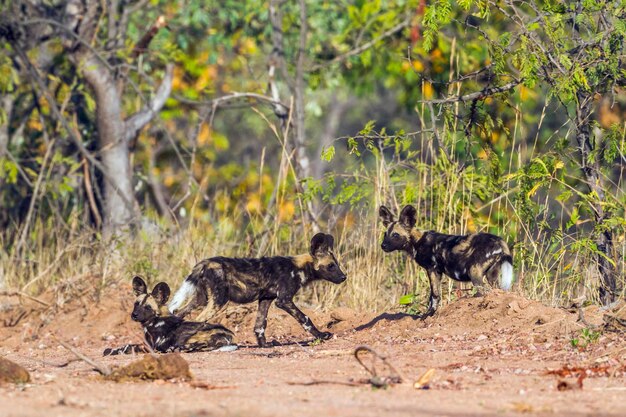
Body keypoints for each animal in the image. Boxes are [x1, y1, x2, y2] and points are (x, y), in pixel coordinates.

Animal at [102, 276, 234, 354]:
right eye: (136, 304)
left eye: (148, 307)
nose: (134, 315)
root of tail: (232, 335)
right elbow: (125, 345)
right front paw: (110, 349)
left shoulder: (151, 347)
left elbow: (129, 346)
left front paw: (113, 351)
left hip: (189, 335)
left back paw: (176, 349)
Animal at [166, 232, 346, 346]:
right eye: (331, 266)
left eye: (336, 264)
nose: (344, 277)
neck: (299, 267)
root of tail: (205, 262)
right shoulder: (284, 300)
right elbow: (305, 319)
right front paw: (321, 335)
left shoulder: (265, 299)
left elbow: (260, 325)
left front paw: (264, 345)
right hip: (218, 302)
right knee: (198, 320)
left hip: (201, 300)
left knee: (179, 315)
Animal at [378, 204, 510, 316]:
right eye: (385, 234)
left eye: (395, 235)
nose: (383, 246)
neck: (417, 241)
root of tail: (499, 241)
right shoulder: (438, 272)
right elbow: (434, 295)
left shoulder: (432, 269)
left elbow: (434, 295)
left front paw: (428, 314)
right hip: (492, 276)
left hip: (474, 274)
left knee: (485, 291)